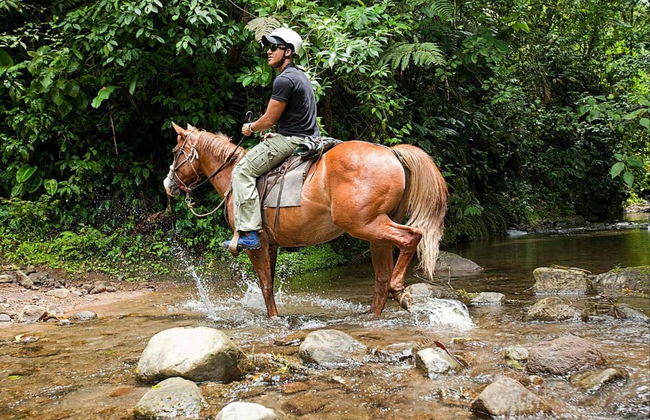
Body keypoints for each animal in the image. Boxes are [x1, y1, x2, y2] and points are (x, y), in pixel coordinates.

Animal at [163, 123, 448, 318]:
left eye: (176, 152)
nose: (168, 185)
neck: (234, 176)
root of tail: (391, 153)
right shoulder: (272, 245)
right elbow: (269, 283)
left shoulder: (256, 244)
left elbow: (265, 285)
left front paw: (274, 319)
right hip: (375, 233)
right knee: (381, 278)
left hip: (364, 225)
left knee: (411, 237)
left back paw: (399, 290)